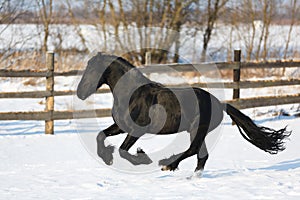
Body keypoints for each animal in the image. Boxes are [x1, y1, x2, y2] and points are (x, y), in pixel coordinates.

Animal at [77, 52, 290, 172]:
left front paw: (142, 157)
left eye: (92, 70)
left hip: (196, 129)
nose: (79, 93)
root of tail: (220, 104)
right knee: (201, 156)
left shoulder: (137, 130)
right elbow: (100, 136)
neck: (132, 94)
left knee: (194, 150)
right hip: (197, 131)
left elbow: (123, 150)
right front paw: (107, 157)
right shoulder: (121, 126)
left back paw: (167, 164)